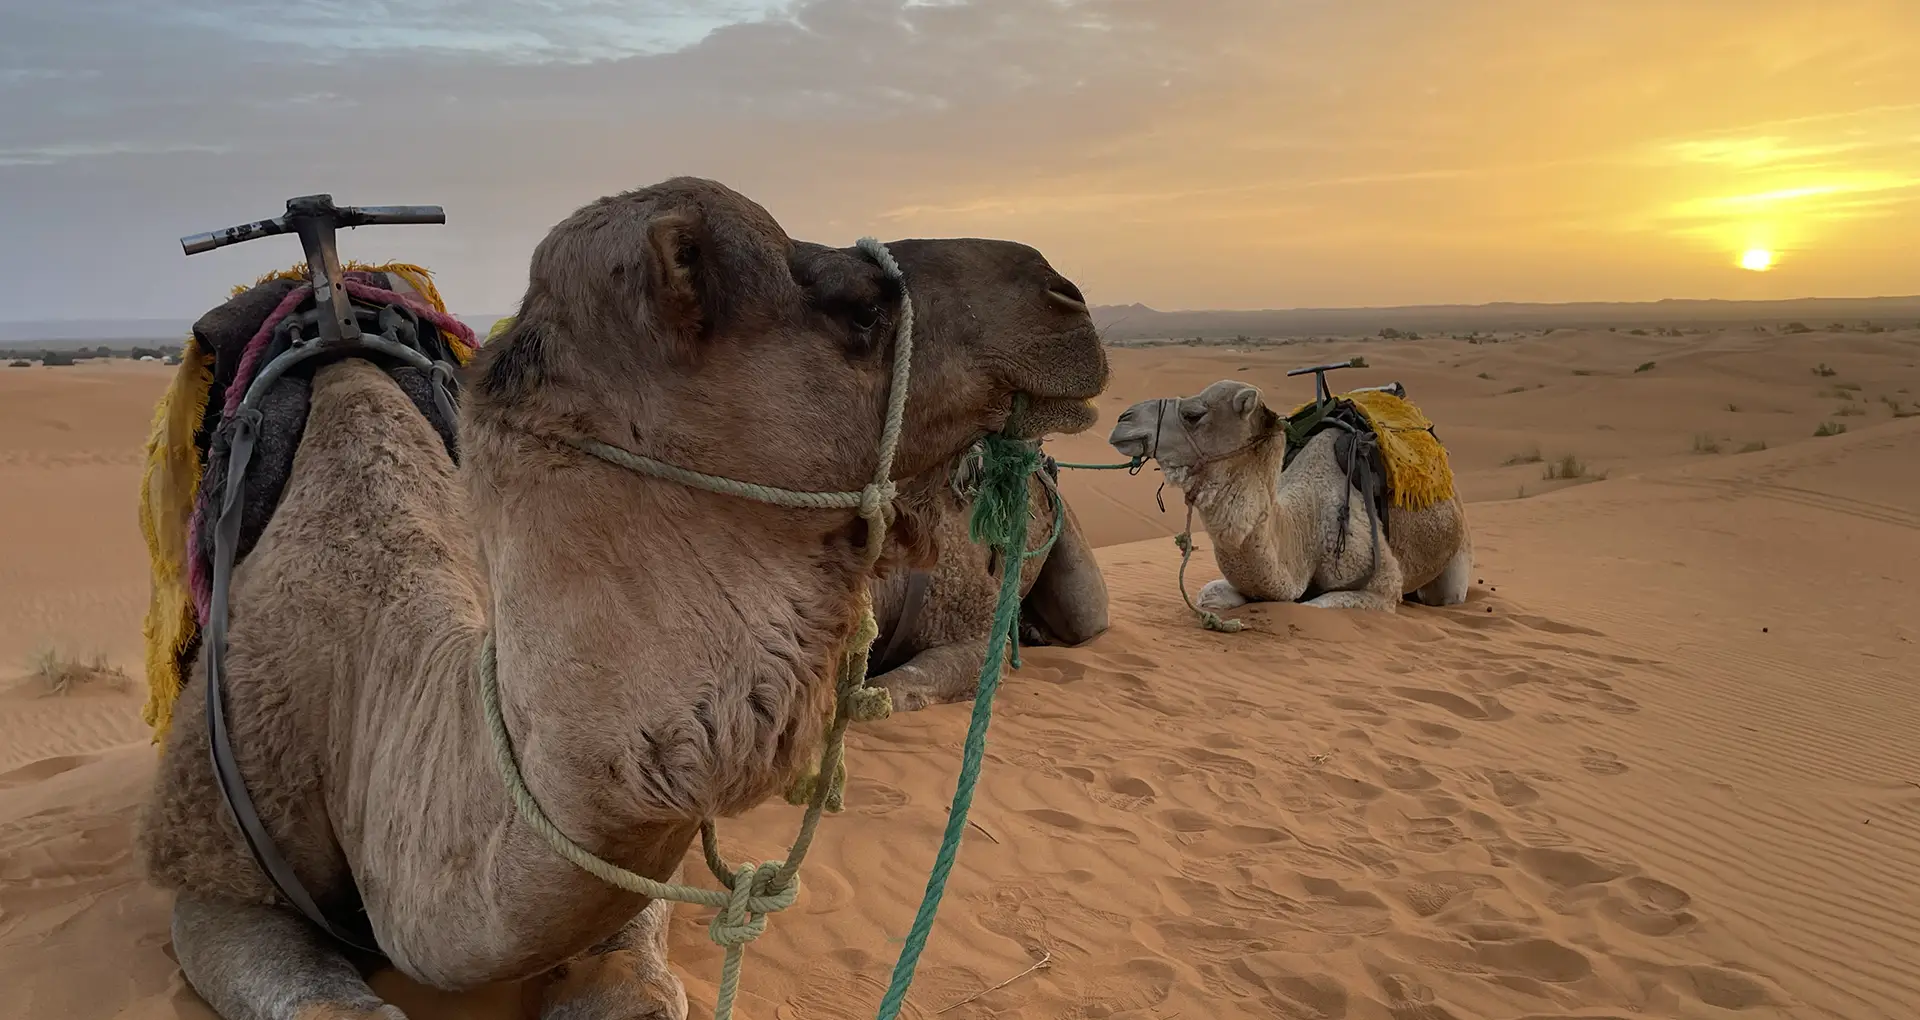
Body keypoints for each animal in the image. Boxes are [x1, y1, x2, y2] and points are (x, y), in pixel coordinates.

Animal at [1098, 376, 1466, 610]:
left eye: (1193, 415)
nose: (1123, 419)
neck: (1305, 527)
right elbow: (1210, 595)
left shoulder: (1383, 586)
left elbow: (1316, 606)